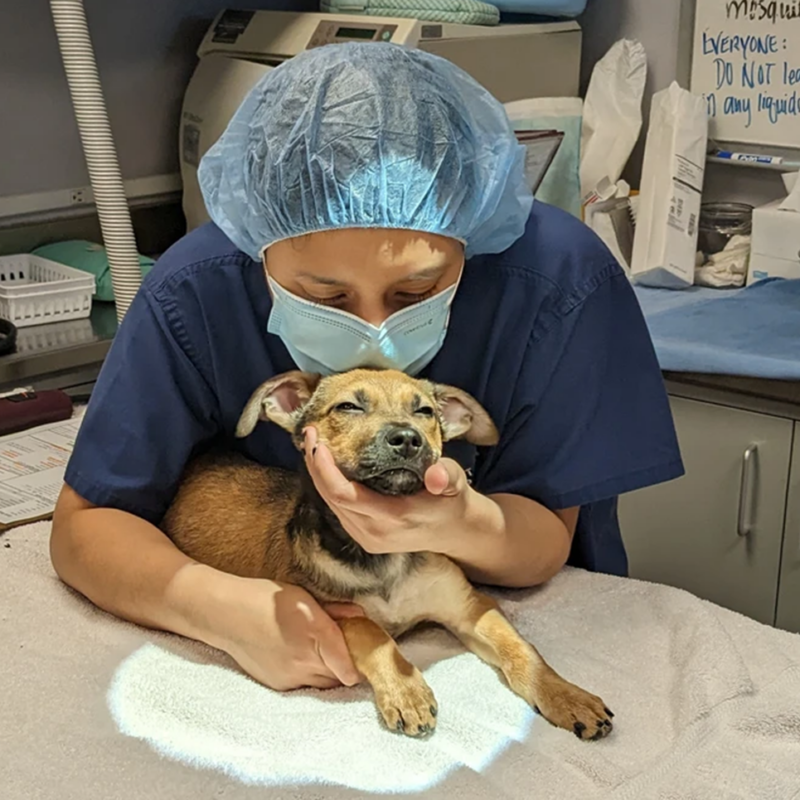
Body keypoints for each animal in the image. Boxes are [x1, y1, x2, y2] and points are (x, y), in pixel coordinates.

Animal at [161, 372, 612, 740]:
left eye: (425, 410)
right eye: (349, 406)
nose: (408, 438)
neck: (383, 559)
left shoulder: (468, 607)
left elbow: (521, 650)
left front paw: (566, 696)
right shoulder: (328, 611)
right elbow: (372, 631)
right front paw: (406, 691)